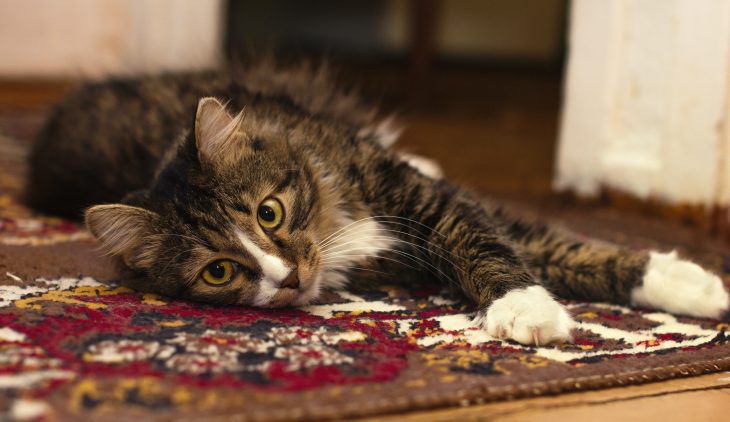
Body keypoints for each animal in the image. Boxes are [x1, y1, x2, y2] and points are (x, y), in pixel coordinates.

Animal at [24, 61, 728, 346]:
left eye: (269, 213)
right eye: (219, 271)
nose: (288, 278)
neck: (334, 223)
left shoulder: (428, 202)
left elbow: (532, 243)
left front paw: (693, 285)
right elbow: (536, 248)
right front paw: (530, 309)